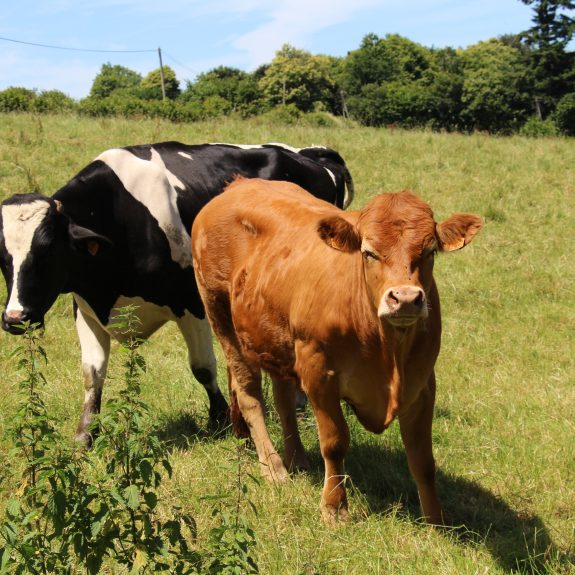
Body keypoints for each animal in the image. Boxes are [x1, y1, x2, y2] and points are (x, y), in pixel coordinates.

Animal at [0, 141, 356, 446]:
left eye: (47, 251)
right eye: (2, 255)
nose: (15, 318)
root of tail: (309, 154)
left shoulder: (190, 302)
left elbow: (202, 367)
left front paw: (219, 417)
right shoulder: (86, 306)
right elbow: (92, 374)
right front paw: (85, 435)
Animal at [192, 178, 482, 524]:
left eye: (429, 252)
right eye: (369, 252)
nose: (406, 299)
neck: (386, 349)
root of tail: (238, 184)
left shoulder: (422, 383)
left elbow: (422, 458)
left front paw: (436, 522)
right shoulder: (318, 373)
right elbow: (334, 442)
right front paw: (334, 508)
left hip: (278, 339)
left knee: (283, 398)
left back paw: (295, 458)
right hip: (220, 315)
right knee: (248, 393)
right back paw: (273, 467)